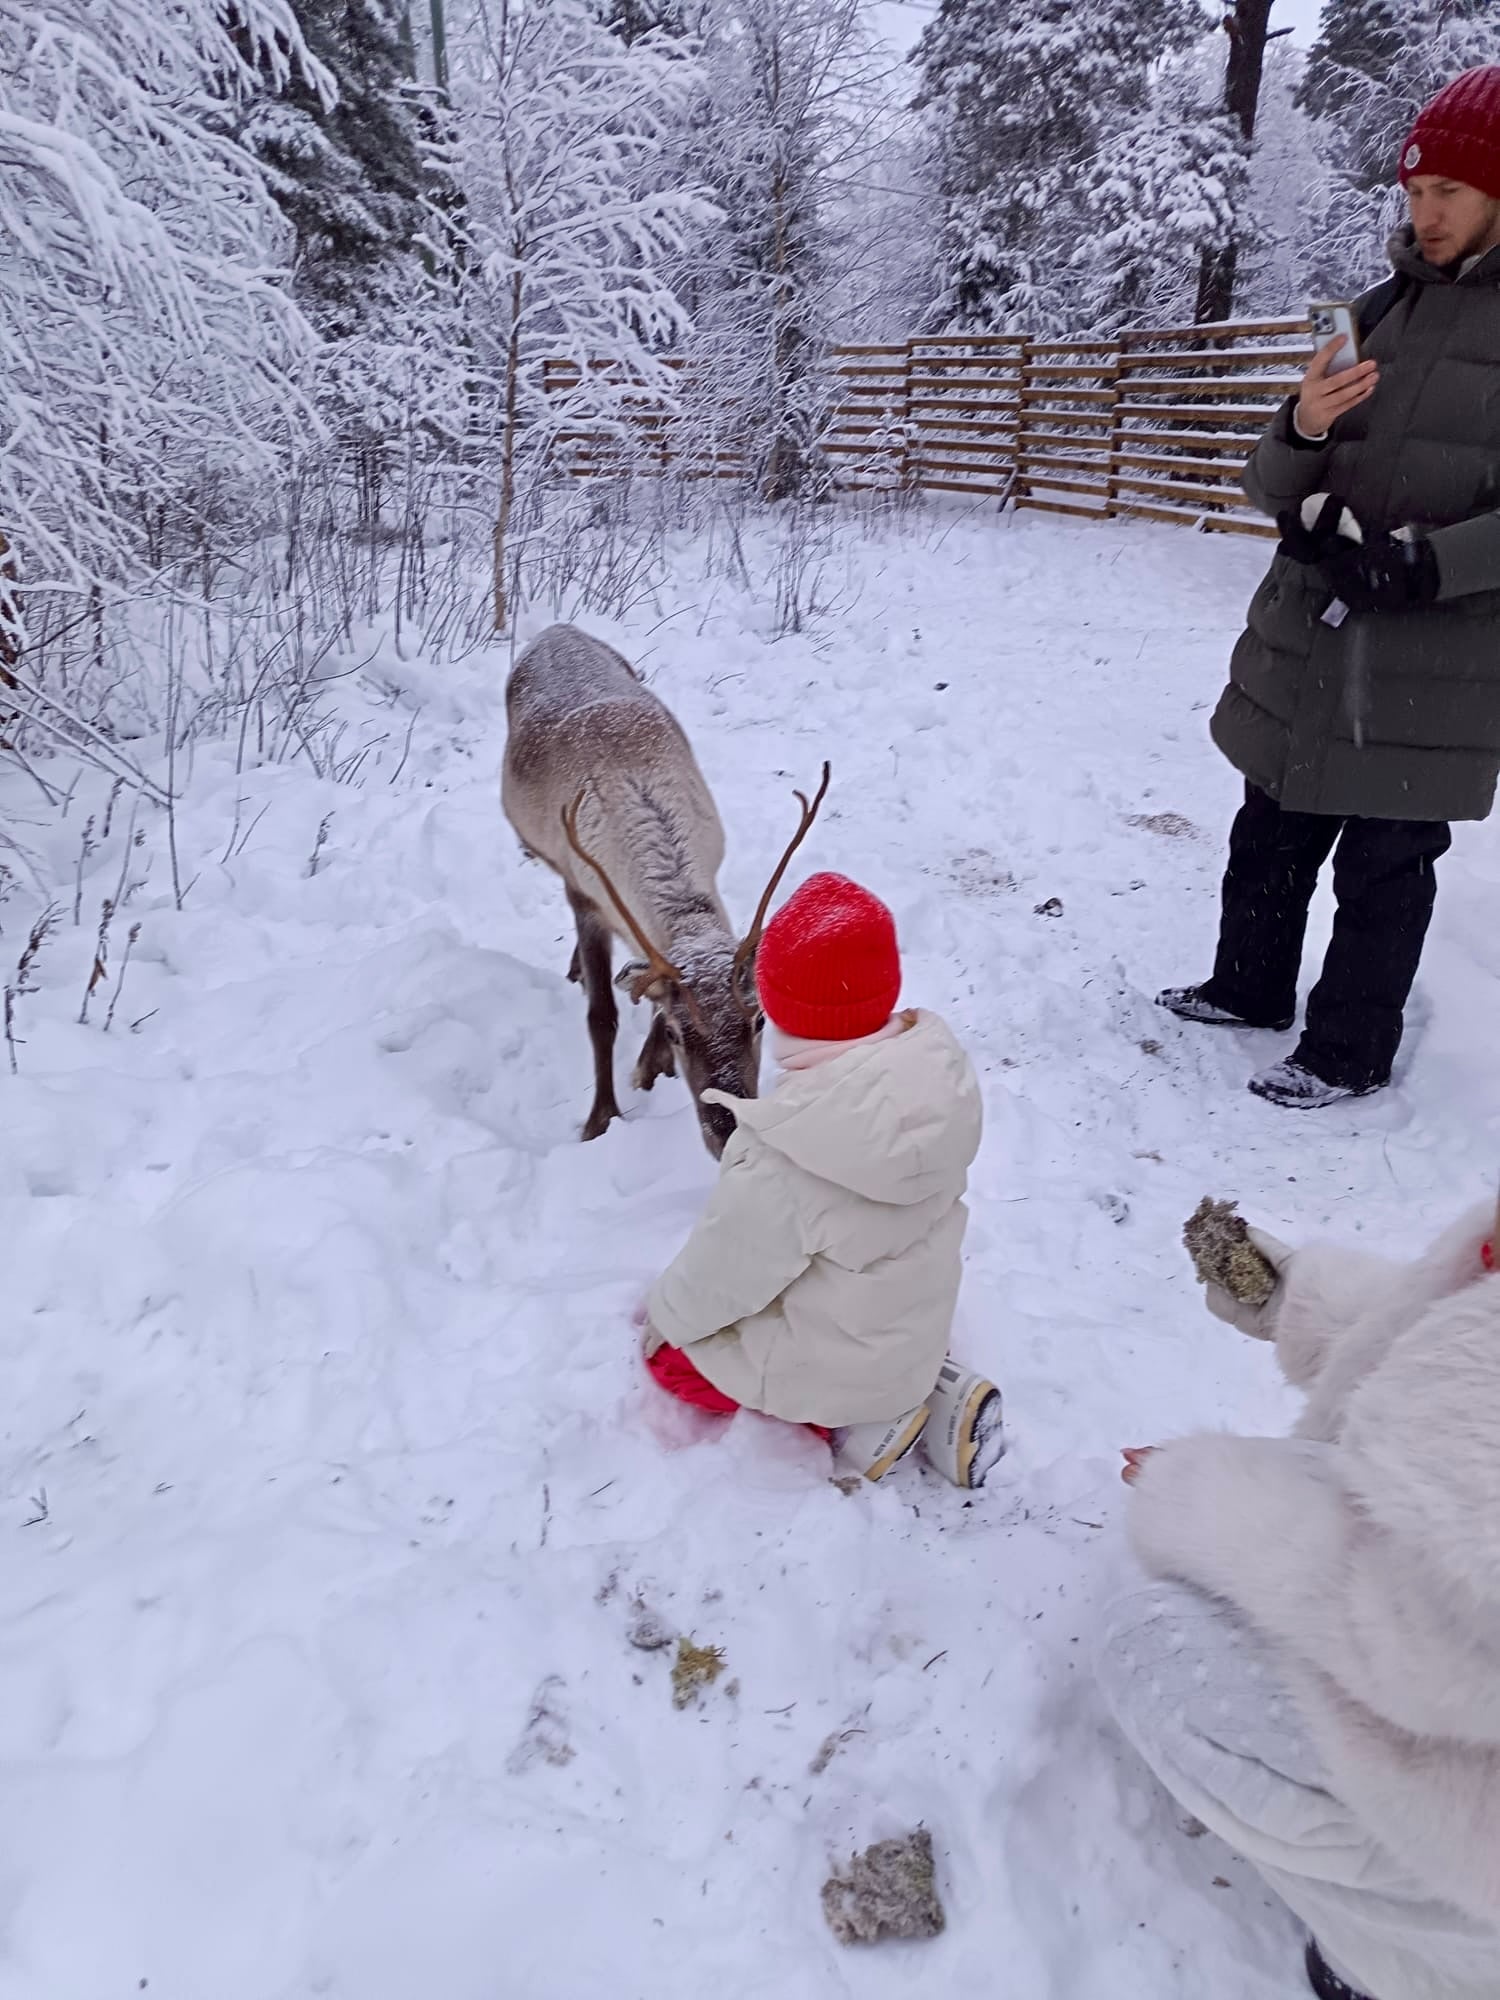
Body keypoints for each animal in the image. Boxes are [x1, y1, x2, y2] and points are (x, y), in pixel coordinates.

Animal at [502, 624, 830, 1158]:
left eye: (759, 1020)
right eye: (680, 1034)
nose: (729, 1133)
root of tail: (557, 629)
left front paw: (649, 1066)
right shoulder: (586, 897)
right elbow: (602, 1016)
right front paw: (600, 1119)